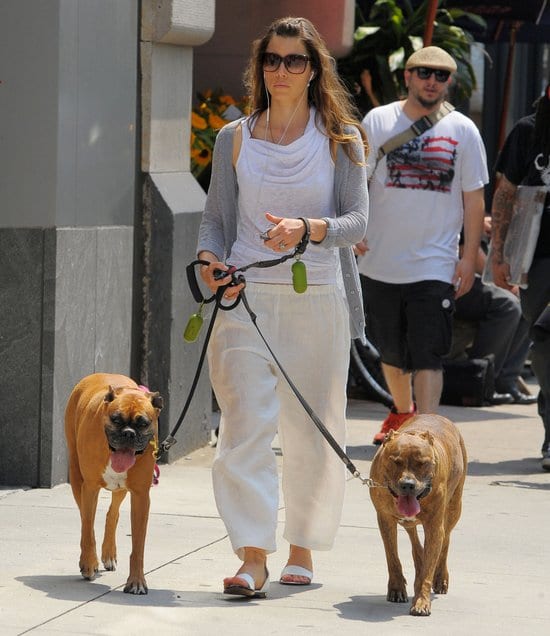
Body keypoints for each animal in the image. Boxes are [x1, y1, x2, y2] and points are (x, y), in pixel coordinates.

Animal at [64, 370, 163, 592]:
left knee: (113, 514)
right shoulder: (90, 487)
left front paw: (136, 581)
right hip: (76, 477)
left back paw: (108, 553)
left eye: (143, 423)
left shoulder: (140, 497)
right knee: (86, 521)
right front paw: (89, 563)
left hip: (121, 489)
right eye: (116, 419)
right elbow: (87, 527)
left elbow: (138, 546)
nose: (128, 433)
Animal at [374, 412, 468, 616]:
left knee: (445, 540)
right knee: (414, 538)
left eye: (422, 463)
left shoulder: (434, 526)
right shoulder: (385, 520)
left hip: (454, 508)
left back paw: (440, 577)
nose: (408, 484)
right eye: (396, 461)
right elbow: (392, 557)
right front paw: (396, 588)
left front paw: (421, 601)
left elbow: (428, 569)